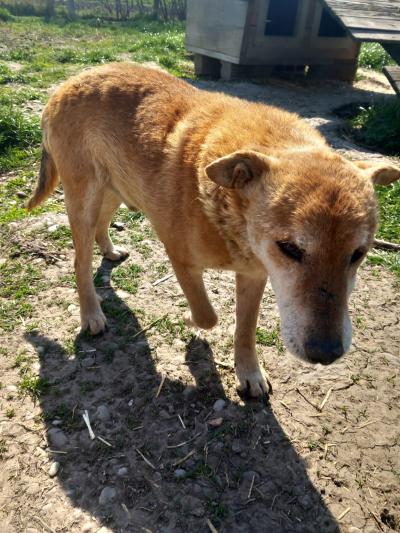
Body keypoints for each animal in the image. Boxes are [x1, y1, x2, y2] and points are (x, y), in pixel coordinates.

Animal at [28, 63, 400, 398]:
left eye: (358, 254)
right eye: (291, 249)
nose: (326, 354)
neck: (229, 217)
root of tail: (66, 84)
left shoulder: (254, 276)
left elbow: (246, 329)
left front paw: (249, 373)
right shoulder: (181, 259)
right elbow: (208, 315)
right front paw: (193, 326)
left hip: (114, 189)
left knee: (102, 226)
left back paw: (109, 250)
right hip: (83, 200)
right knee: (80, 261)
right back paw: (92, 314)